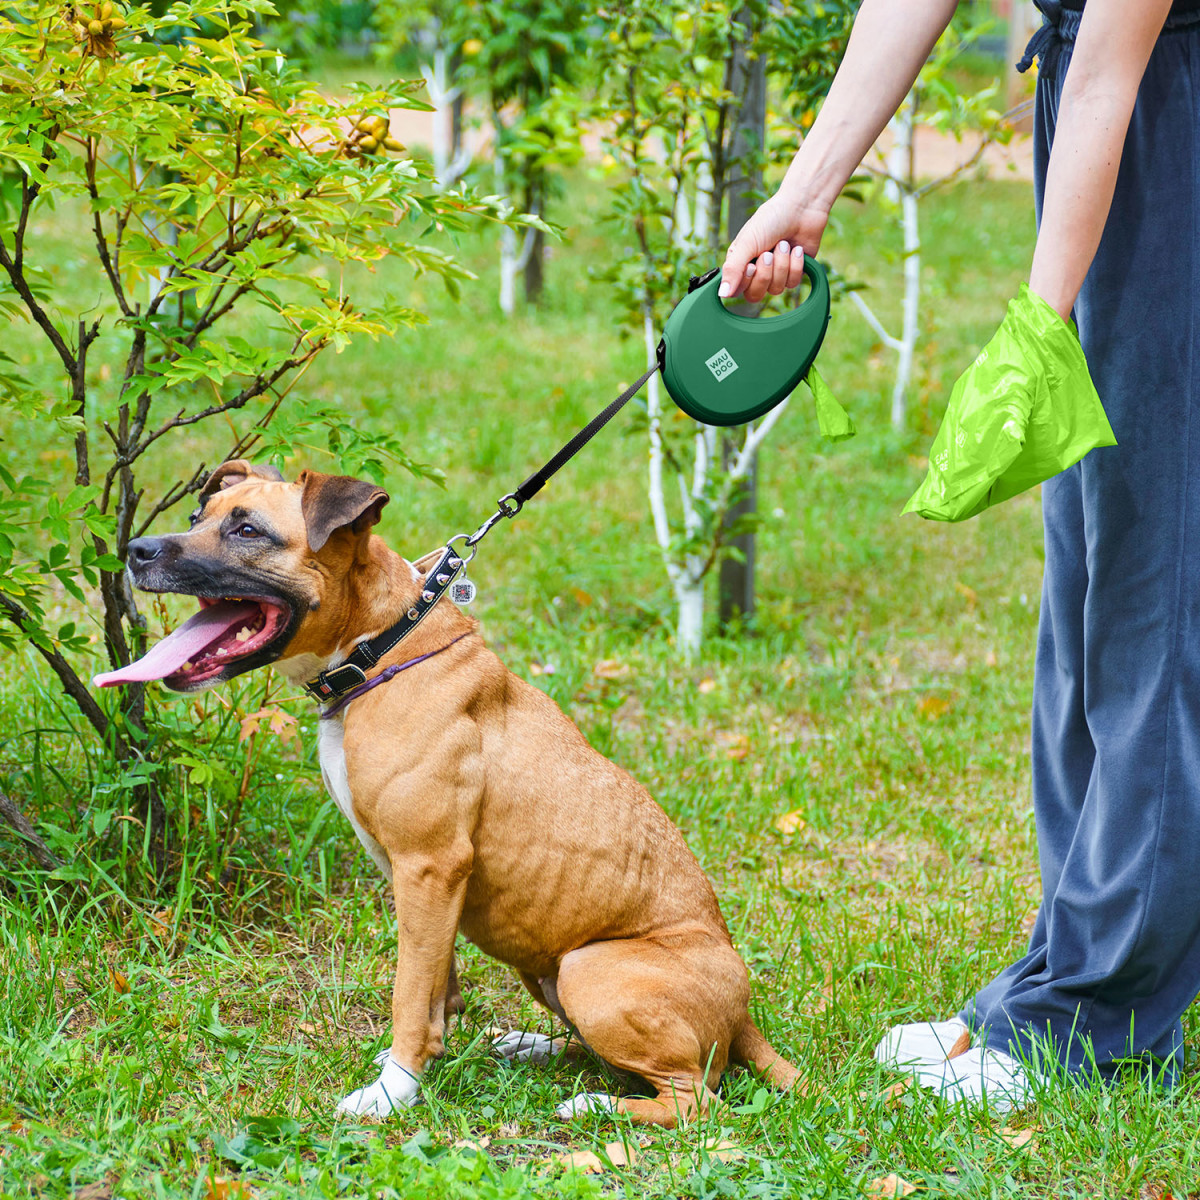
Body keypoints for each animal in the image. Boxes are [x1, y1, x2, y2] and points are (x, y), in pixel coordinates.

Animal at [96, 458, 796, 1123]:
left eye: (248, 531)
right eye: (199, 514)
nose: (136, 550)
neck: (379, 650)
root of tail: (743, 1016)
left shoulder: (430, 866)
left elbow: (409, 994)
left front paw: (390, 1092)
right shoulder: (420, 878)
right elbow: (433, 983)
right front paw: (418, 1066)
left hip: (592, 970)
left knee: (694, 1099)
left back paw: (594, 1107)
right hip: (547, 970)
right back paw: (533, 1047)